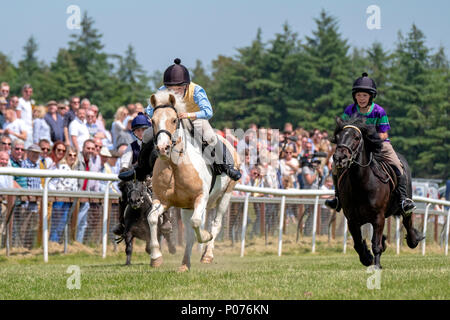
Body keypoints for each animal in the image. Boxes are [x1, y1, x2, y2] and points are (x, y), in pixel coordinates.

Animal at [148, 89, 239, 270]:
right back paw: (184, 264)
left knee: (216, 223)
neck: (175, 167)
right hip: (186, 207)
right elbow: (152, 218)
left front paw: (205, 236)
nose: (162, 148)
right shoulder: (163, 200)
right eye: (153, 121)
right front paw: (156, 257)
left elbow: (197, 222)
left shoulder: (201, 198)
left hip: (226, 195)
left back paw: (207, 255)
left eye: (174, 120)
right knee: (189, 233)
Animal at [332, 116, 424, 268]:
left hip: (405, 202)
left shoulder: (378, 217)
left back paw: (414, 239)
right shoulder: (352, 220)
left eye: (356, 137)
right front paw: (367, 258)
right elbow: (358, 244)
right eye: (338, 137)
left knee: (408, 221)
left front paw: (376, 265)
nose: (339, 158)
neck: (360, 184)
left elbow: (375, 244)